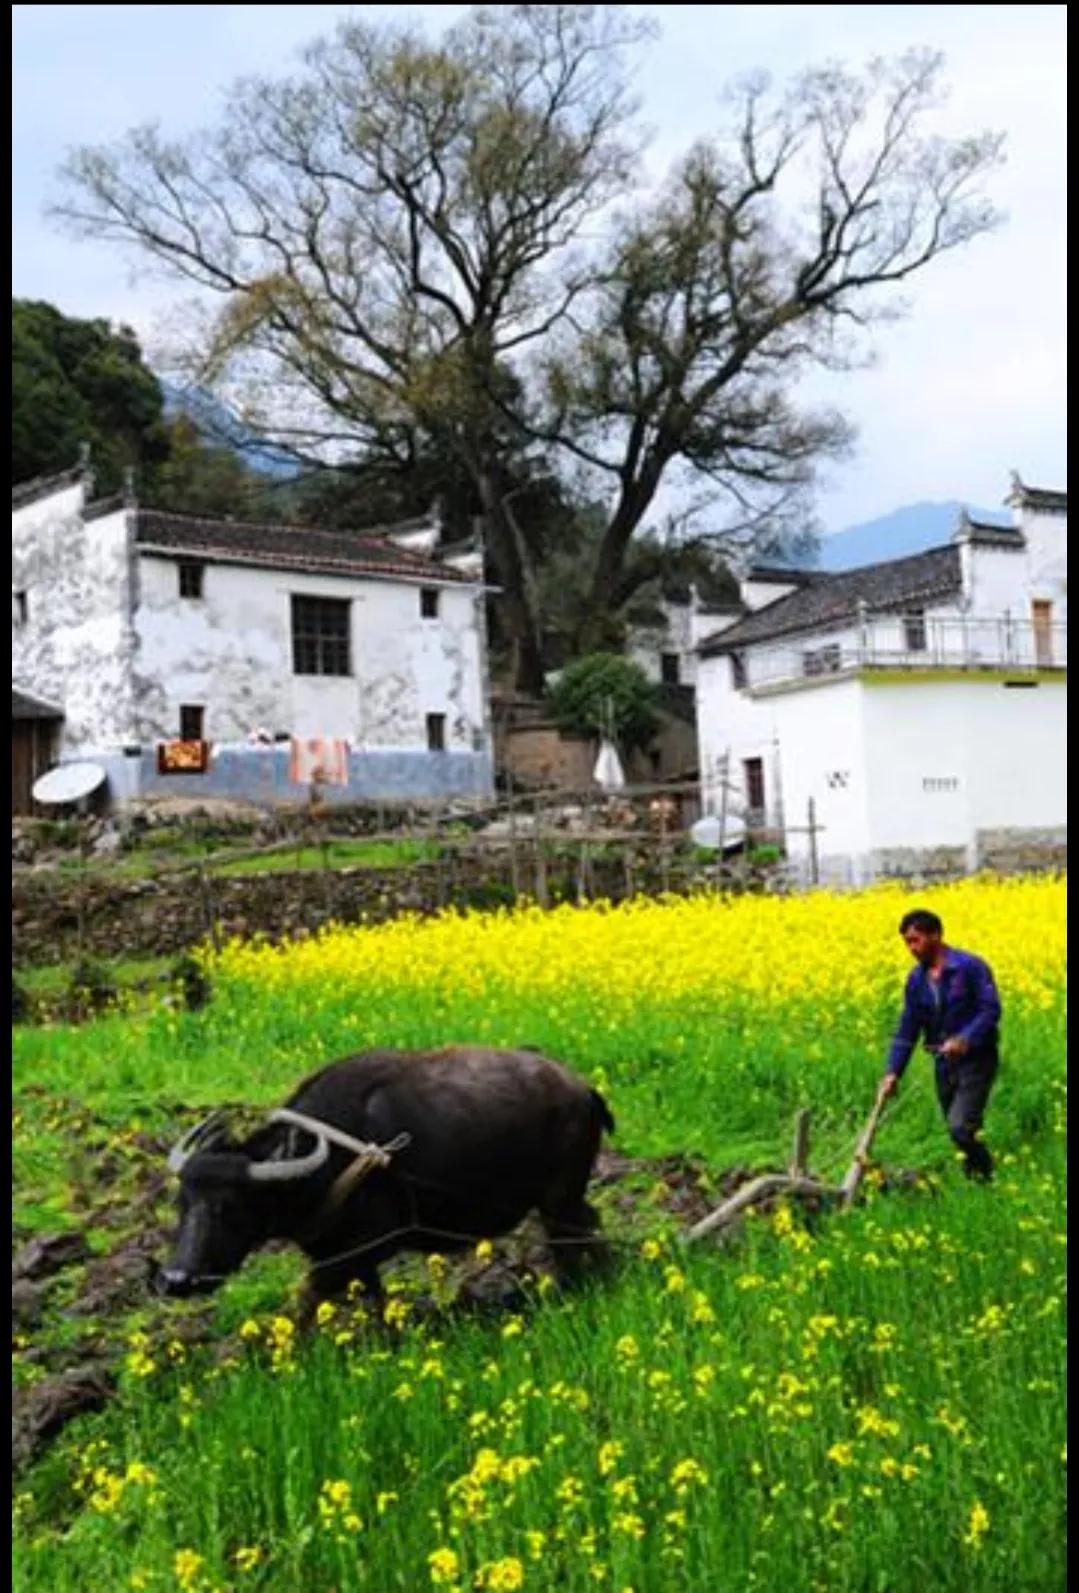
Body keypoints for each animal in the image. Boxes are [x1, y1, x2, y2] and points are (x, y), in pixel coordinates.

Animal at [158, 1045, 615, 1306]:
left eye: (229, 1207)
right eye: (181, 1203)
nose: (176, 1280)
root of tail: (583, 1090)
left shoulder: (369, 1245)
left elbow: (304, 1297)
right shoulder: (345, 1252)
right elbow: (373, 1302)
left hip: (559, 1197)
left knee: (569, 1240)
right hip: (566, 1198)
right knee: (590, 1225)